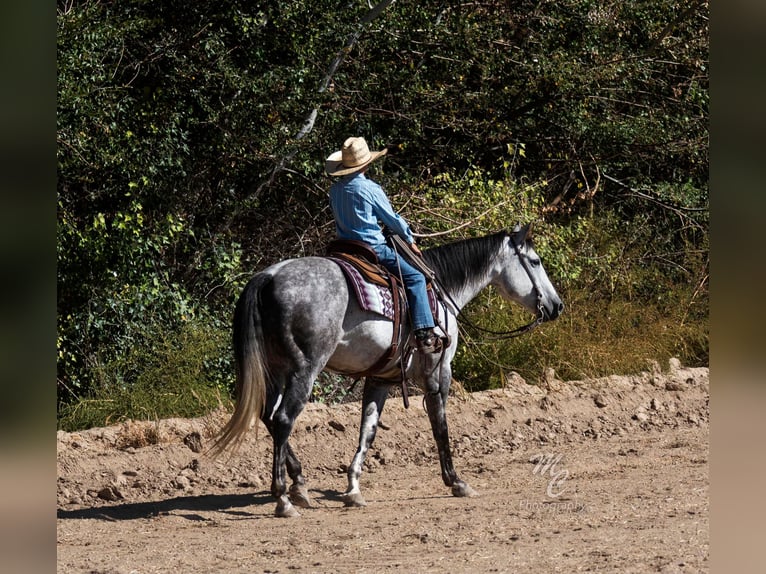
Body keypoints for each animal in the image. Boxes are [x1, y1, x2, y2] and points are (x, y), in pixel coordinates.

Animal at [212, 224, 564, 516]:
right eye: (535, 261)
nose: (556, 306)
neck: (441, 290)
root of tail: (268, 277)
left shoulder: (379, 379)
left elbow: (367, 429)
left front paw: (353, 488)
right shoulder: (439, 374)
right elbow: (440, 425)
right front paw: (455, 481)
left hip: (275, 371)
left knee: (269, 417)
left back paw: (300, 485)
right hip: (303, 371)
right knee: (284, 419)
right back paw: (284, 498)